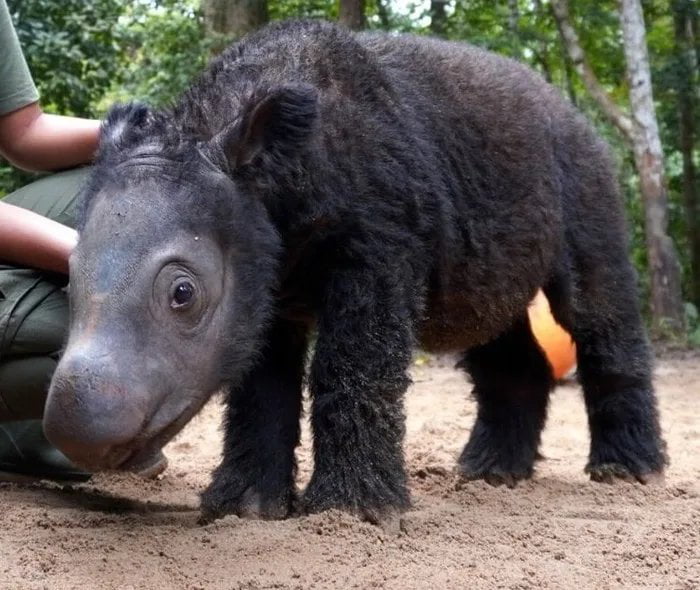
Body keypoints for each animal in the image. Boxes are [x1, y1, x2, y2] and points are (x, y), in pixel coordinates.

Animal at [43, 20, 668, 524]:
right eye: (69, 280)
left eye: (182, 293)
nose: (81, 433)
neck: (265, 171)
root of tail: (572, 111)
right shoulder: (263, 274)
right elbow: (260, 384)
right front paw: (246, 509)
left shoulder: (379, 247)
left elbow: (352, 369)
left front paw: (352, 513)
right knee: (493, 324)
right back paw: (490, 473)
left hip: (586, 169)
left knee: (593, 306)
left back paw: (627, 473)